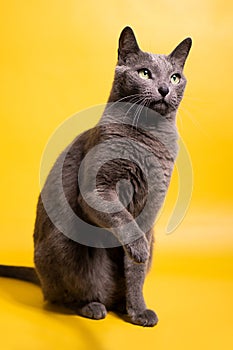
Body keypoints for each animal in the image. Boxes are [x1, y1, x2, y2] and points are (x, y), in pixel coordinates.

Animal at [0, 26, 191, 326]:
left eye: (175, 77)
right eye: (144, 73)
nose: (164, 89)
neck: (147, 138)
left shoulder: (150, 205)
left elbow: (135, 271)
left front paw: (138, 311)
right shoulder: (96, 189)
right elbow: (122, 219)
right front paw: (137, 249)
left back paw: (121, 305)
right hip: (64, 243)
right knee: (62, 296)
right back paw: (91, 307)